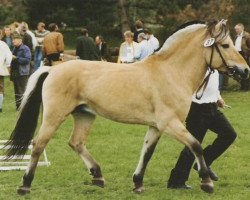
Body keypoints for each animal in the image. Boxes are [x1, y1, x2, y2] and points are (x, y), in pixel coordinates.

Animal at [4, 19, 249, 195]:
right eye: (225, 45)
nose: (245, 70)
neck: (171, 72)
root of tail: (52, 69)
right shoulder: (170, 123)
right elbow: (196, 145)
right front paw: (207, 182)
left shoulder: (156, 126)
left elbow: (147, 152)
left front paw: (138, 183)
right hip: (55, 116)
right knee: (38, 144)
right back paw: (24, 185)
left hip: (84, 115)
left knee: (76, 143)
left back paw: (97, 175)